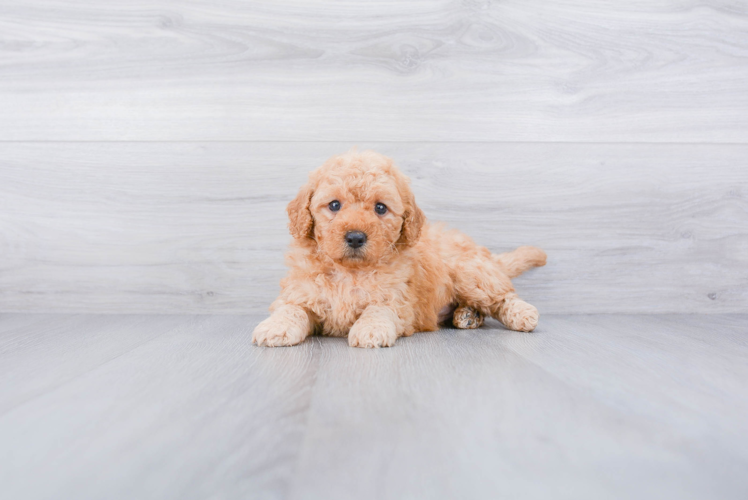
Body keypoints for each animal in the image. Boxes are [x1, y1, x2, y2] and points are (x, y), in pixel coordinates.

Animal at [254, 150, 548, 350]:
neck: (350, 271)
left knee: (503, 297)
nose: (356, 237)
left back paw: (521, 314)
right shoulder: (301, 293)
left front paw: (370, 330)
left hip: (469, 272)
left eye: (380, 208)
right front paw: (276, 326)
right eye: (334, 205)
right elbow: (292, 309)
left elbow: (378, 310)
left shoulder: (396, 300)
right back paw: (467, 315)